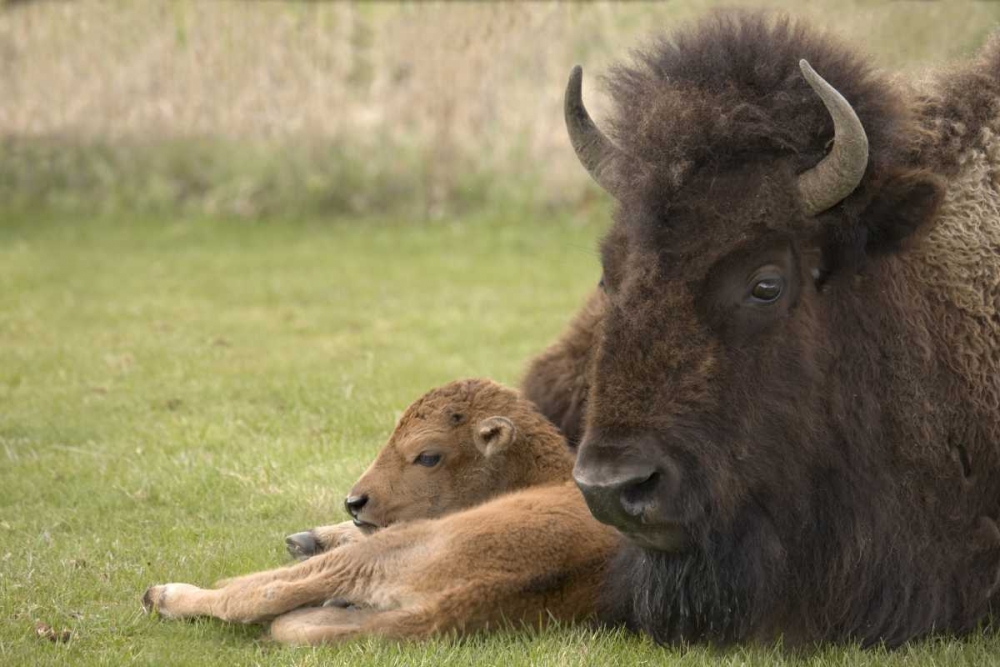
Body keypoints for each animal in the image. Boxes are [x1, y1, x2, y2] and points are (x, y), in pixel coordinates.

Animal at [143, 378, 616, 644]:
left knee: (260, 594)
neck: (547, 473)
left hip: (382, 551)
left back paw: (162, 595)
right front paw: (308, 537)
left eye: (428, 456)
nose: (355, 502)